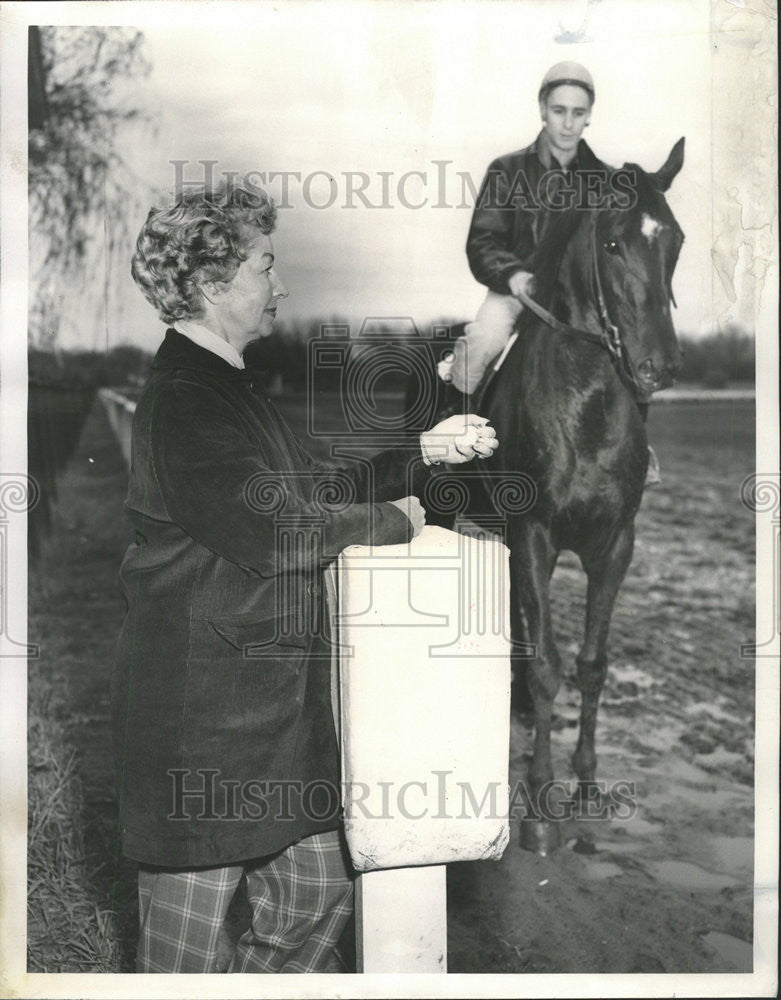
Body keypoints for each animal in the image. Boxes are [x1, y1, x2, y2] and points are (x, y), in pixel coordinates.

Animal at [414, 135, 684, 852]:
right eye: (613, 242)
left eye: (674, 239)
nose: (659, 365)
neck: (586, 404)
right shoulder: (535, 535)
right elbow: (546, 668)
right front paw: (538, 803)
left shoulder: (614, 545)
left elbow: (590, 663)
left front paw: (585, 788)